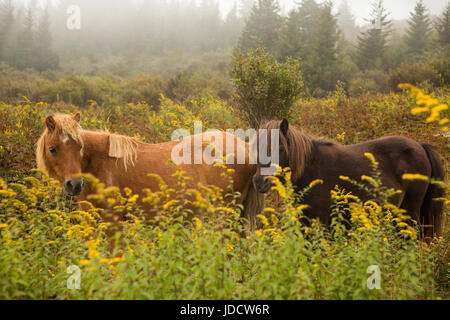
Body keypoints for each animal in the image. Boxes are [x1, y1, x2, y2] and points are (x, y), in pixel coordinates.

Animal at [37, 114, 264, 231]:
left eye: (80, 147)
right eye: (53, 149)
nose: (75, 184)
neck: (98, 162)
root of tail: (245, 147)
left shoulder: (113, 221)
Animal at [251, 119, 444, 239]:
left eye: (281, 148)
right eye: (256, 146)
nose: (260, 182)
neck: (310, 169)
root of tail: (420, 146)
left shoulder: (322, 222)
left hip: (410, 212)